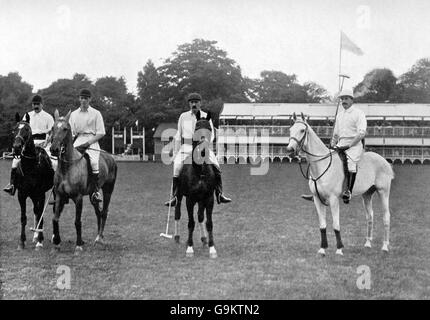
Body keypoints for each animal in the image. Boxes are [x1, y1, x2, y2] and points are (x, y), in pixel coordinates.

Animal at [10, 112, 54, 250]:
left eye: (27, 130)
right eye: (14, 130)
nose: (17, 148)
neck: (30, 167)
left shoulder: (40, 194)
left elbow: (40, 214)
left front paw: (40, 241)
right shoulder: (22, 194)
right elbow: (23, 217)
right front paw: (21, 242)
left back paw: (51, 237)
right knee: (35, 210)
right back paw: (35, 235)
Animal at [49, 109, 117, 254]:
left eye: (65, 129)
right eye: (52, 128)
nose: (54, 149)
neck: (67, 167)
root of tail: (110, 157)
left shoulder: (78, 197)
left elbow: (77, 221)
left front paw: (79, 244)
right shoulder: (59, 196)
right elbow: (55, 218)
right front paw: (56, 243)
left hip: (108, 190)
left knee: (104, 212)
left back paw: (99, 238)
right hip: (92, 194)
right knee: (98, 212)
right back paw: (97, 237)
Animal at [172, 111, 217, 258]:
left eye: (209, 129)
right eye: (196, 128)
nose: (203, 151)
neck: (200, 170)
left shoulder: (209, 199)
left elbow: (208, 222)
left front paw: (212, 248)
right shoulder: (190, 200)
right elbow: (190, 223)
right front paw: (190, 248)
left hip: (201, 200)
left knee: (200, 217)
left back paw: (203, 239)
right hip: (180, 196)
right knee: (177, 213)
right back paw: (177, 237)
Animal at [288, 112, 394, 255]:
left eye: (302, 130)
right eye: (290, 130)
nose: (289, 150)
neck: (322, 166)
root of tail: (385, 161)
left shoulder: (333, 199)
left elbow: (336, 225)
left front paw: (339, 249)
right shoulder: (317, 199)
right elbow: (322, 225)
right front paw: (322, 249)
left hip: (383, 191)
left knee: (386, 216)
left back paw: (385, 246)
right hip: (367, 194)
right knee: (369, 216)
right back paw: (367, 243)